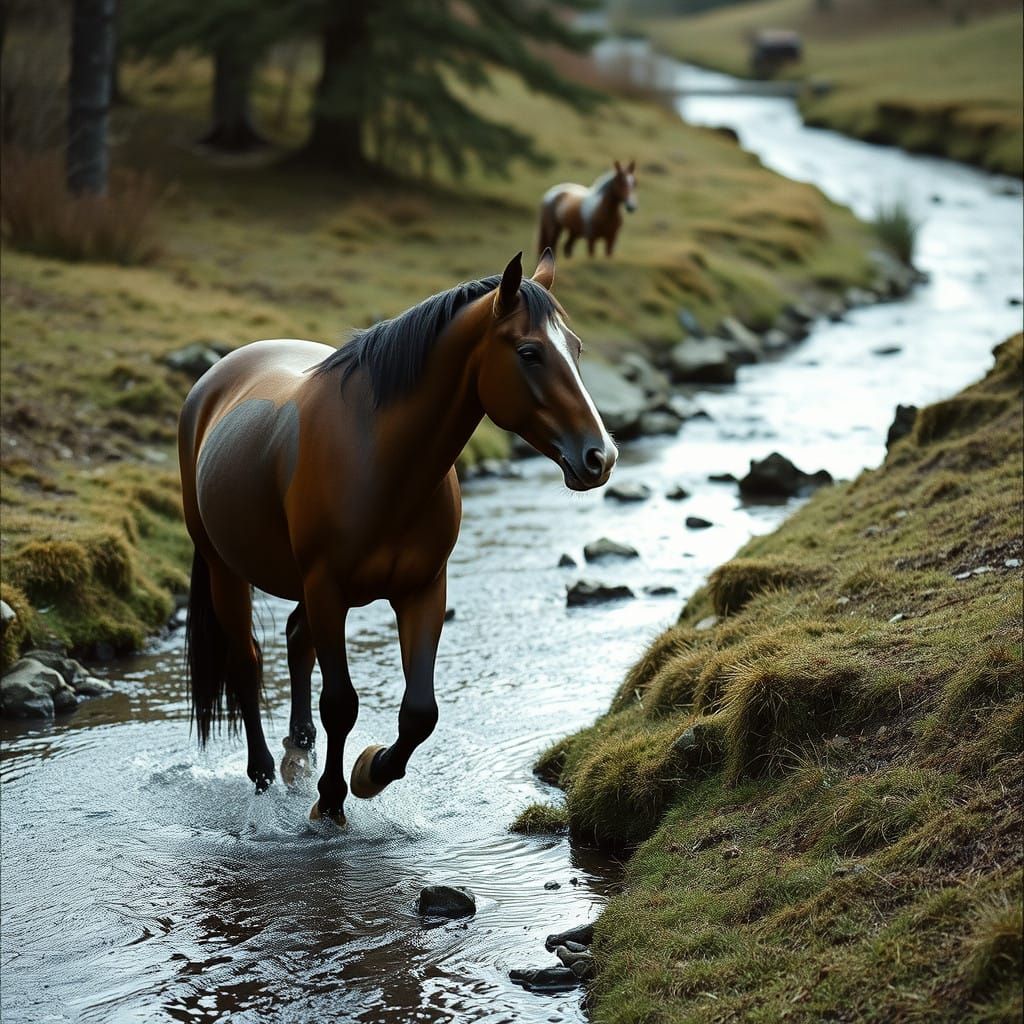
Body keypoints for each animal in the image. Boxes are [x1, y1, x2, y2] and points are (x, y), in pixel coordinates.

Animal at [178, 249, 617, 827]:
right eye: (529, 352)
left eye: (578, 348)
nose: (600, 456)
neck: (381, 460)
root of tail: (212, 381)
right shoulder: (327, 589)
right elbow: (341, 703)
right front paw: (331, 801)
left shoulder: (422, 589)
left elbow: (420, 712)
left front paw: (369, 772)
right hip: (226, 570)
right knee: (246, 663)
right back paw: (264, 771)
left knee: (296, 641)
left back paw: (298, 753)